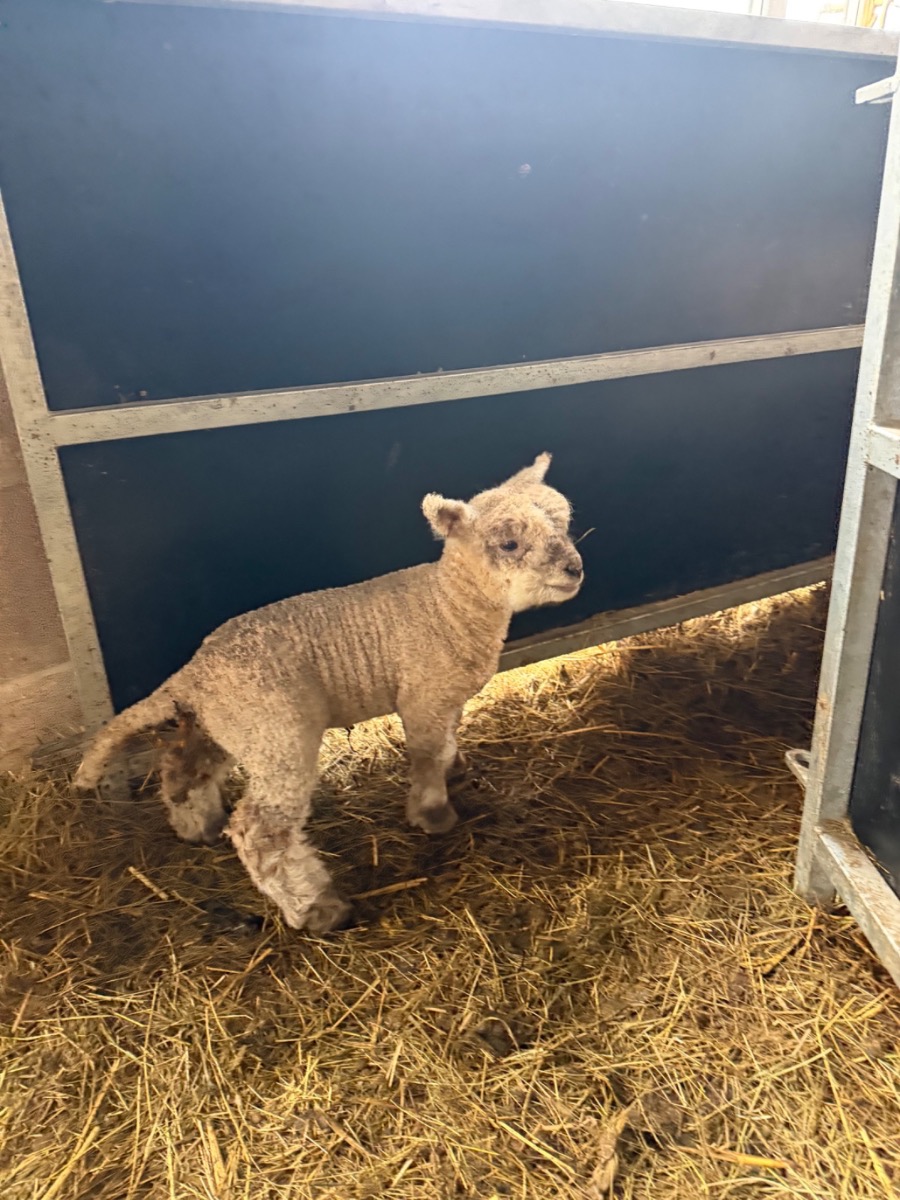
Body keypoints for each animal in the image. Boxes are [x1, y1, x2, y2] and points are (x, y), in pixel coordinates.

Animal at [75, 453, 583, 933]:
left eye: (563, 523)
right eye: (509, 543)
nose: (575, 568)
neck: (446, 606)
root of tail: (193, 673)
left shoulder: (447, 698)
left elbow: (445, 747)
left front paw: (454, 772)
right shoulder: (423, 694)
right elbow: (426, 756)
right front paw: (433, 814)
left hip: (233, 726)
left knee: (183, 768)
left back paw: (198, 827)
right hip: (277, 733)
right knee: (260, 831)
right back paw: (318, 908)